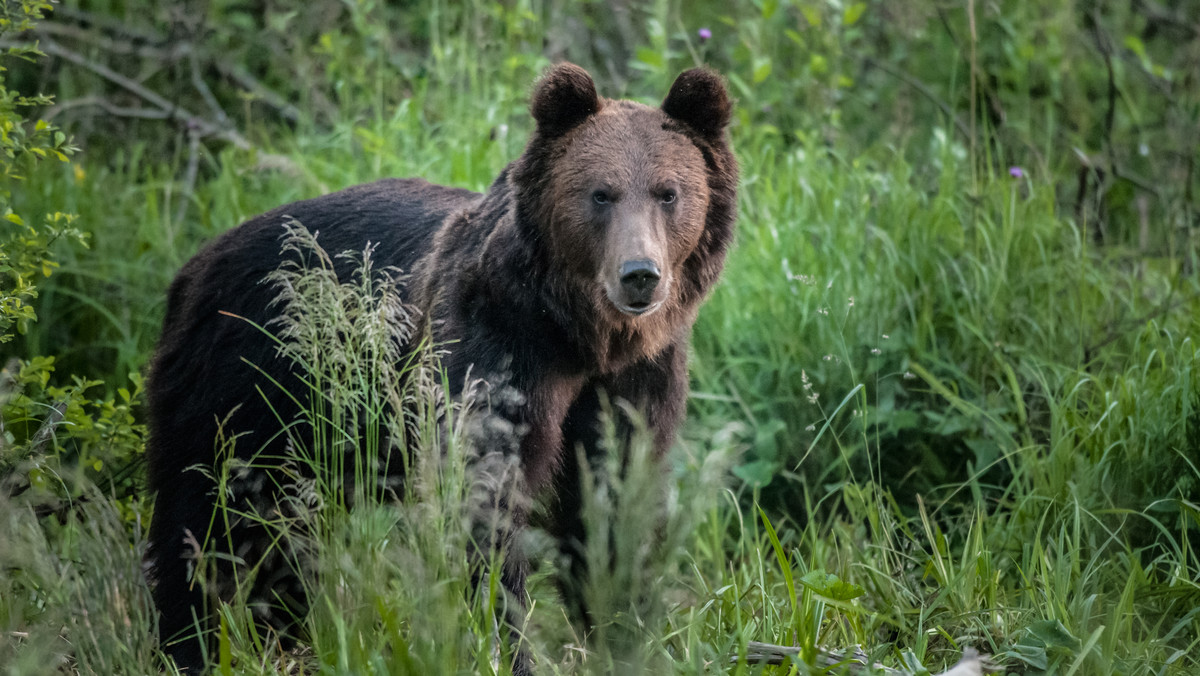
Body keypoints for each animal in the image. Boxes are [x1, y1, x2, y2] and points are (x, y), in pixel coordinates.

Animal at [145, 62, 734, 672]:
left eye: (669, 192)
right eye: (601, 194)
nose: (639, 275)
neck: (579, 338)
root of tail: (196, 265)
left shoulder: (637, 377)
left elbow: (614, 496)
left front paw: (625, 629)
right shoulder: (492, 351)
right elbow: (482, 498)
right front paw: (504, 642)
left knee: (282, 538)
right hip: (248, 385)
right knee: (207, 519)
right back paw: (190, 643)